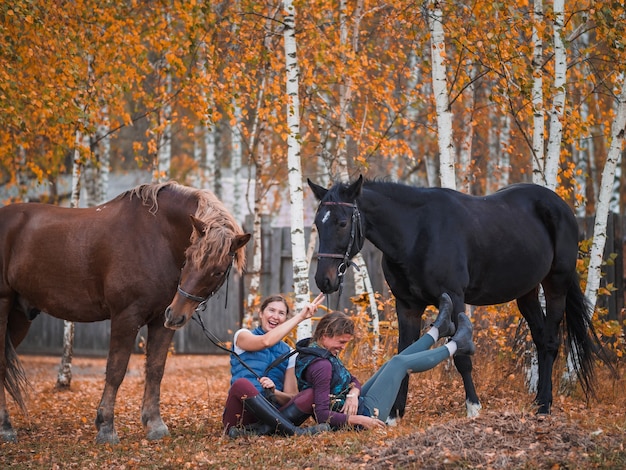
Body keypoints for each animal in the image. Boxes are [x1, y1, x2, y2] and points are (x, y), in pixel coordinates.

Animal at [0, 181, 249, 444]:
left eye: (218, 271)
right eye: (189, 257)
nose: (177, 314)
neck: (155, 236)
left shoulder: (160, 321)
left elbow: (155, 370)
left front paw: (154, 424)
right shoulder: (125, 317)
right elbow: (115, 371)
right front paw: (106, 428)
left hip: (19, 318)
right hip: (3, 307)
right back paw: (6, 428)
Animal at [308, 177, 600, 418]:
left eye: (342, 223)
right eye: (317, 224)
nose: (325, 280)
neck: (417, 233)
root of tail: (560, 206)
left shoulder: (456, 299)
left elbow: (461, 357)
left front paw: (473, 408)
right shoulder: (407, 307)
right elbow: (403, 353)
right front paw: (394, 414)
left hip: (556, 285)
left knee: (550, 341)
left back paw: (544, 406)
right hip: (526, 292)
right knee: (540, 340)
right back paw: (538, 401)